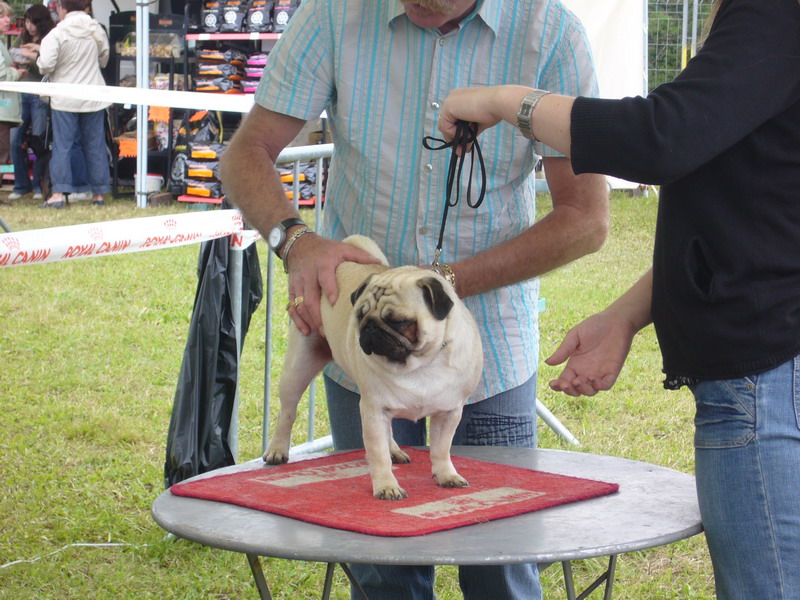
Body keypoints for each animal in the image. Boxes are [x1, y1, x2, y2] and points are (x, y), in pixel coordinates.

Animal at [266, 234, 484, 502]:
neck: (420, 364)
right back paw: (277, 450)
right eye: (360, 316)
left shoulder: (449, 412)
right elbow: (378, 455)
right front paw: (387, 486)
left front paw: (446, 475)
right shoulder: (373, 409)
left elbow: (441, 449)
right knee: (287, 412)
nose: (369, 326)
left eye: (400, 321)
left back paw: (395, 450)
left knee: (388, 431)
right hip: (298, 368)